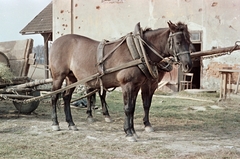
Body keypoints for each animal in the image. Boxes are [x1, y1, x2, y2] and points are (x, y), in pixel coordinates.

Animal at [49, 21, 193, 142]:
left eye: (189, 41)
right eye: (178, 42)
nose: (188, 65)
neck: (138, 51)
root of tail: (55, 42)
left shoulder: (136, 86)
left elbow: (133, 108)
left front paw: (133, 131)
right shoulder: (127, 85)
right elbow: (128, 108)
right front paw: (129, 133)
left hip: (71, 78)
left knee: (67, 97)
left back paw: (71, 123)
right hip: (58, 77)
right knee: (54, 97)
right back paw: (55, 123)